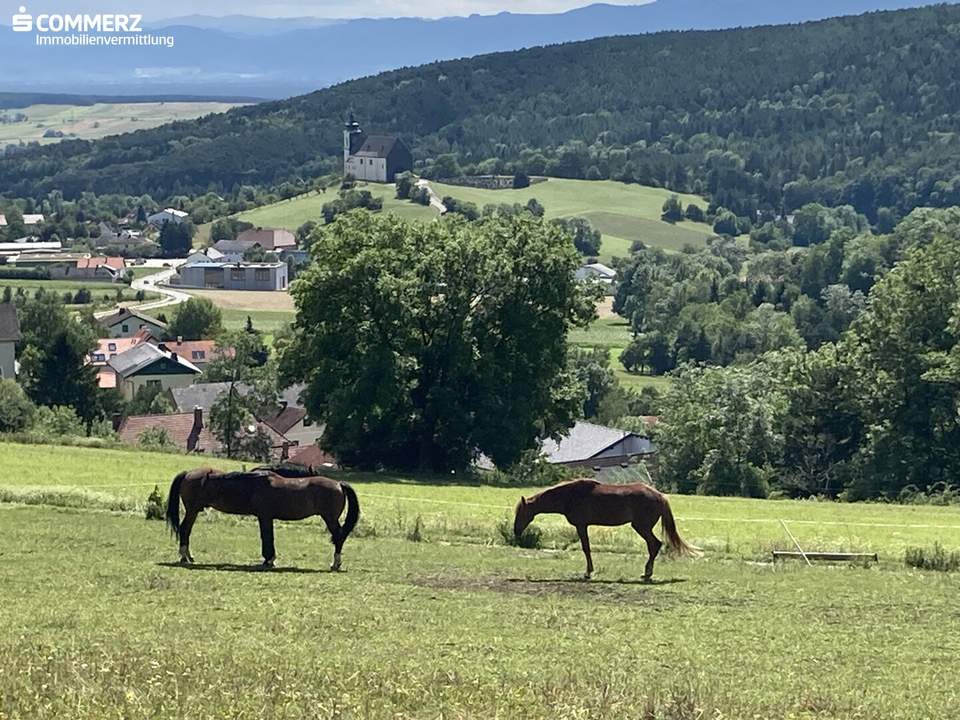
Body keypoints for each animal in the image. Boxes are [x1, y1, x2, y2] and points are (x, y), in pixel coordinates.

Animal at [165, 466, 360, 572]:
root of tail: (339, 484)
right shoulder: (265, 517)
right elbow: (267, 537)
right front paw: (269, 560)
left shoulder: (265, 517)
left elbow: (267, 537)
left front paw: (269, 560)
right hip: (193, 511)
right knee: (185, 529)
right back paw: (186, 557)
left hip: (330, 519)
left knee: (339, 537)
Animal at [512, 480, 700, 584]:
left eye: (521, 513)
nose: (516, 531)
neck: (570, 496)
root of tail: (660, 496)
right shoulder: (583, 526)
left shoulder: (581, 526)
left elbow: (586, 548)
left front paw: (588, 573)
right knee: (654, 546)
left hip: (641, 527)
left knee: (654, 545)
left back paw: (647, 573)